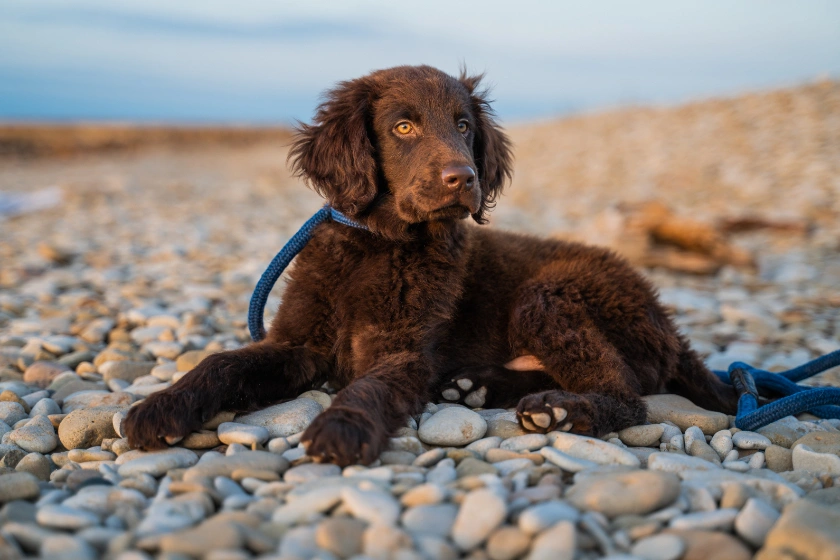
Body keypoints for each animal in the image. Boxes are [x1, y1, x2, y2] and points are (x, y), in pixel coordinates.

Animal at [123, 65, 736, 466]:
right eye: (403, 127)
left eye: (464, 126)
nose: (464, 178)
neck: (379, 245)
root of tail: (667, 322)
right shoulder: (297, 343)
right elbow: (220, 363)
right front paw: (161, 407)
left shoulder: (403, 350)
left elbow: (368, 388)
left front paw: (341, 428)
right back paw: (476, 388)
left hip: (550, 294)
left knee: (630, 398)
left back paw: (560, 412)